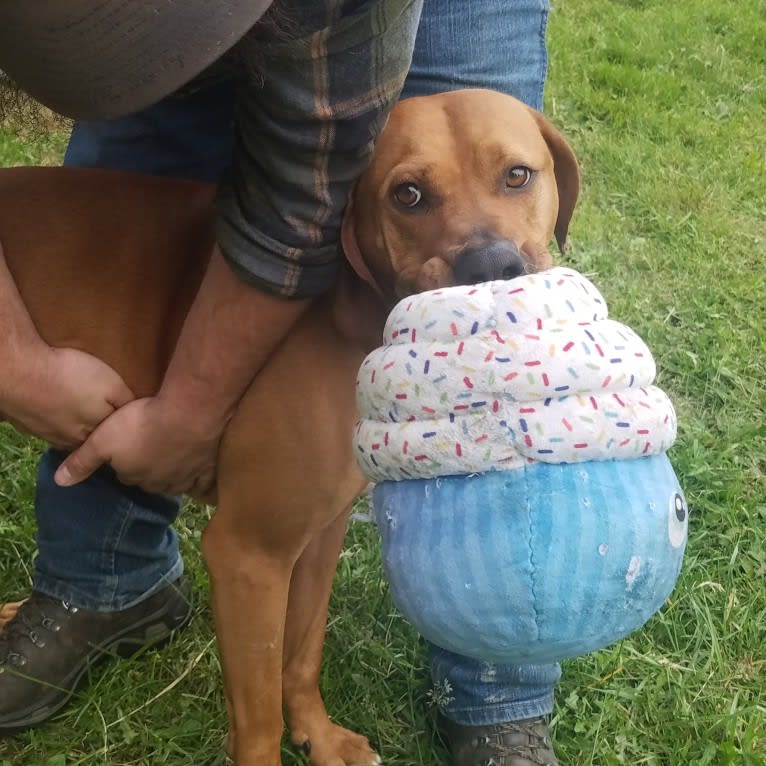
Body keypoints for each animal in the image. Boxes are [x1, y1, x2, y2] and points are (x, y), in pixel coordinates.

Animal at [0, 91, 580, 766]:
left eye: (517, 176)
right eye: (407, 194)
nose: (492, 267)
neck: (352, 310)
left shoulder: (318, 535)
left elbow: (301, 653)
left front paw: (318, 734)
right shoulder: (248, 553)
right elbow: (256, 720)